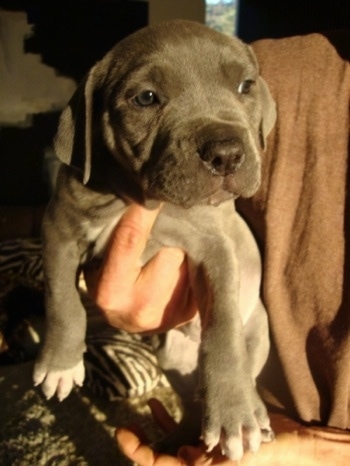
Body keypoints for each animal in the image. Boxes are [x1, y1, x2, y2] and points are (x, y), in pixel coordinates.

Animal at [34, 20, 278, 460]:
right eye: (146, 98)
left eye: (245, 86)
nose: (226, 153)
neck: (141, 196)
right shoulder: (60, 229)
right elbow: (62, 300)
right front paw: (59, 362)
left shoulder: (216, 250)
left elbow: (223, 328)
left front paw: (233, 411)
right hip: (173, 357)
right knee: (193, 403)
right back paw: (179, 440)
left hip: (255, 334)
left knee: (239, 368)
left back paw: (251, 413)